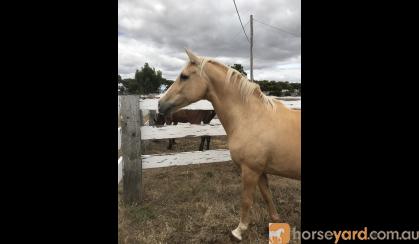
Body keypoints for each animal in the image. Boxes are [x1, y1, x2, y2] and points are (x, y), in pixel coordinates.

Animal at [158, 49, 302, 240]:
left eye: (184, 76)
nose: (160, 104)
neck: (251, 117)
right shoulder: (260, 171)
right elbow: (267, 196)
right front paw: (276, 222)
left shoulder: (250, 170)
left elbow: (246, 200)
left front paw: (239, 231)